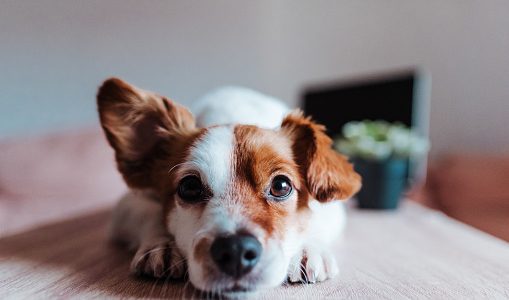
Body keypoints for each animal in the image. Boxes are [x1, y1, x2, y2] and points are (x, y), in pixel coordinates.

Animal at [96, 77, 362, 292]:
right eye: (189, 187)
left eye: (281, 185)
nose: (235, 251)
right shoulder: (128, 204)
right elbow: (150, 213)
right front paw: (163, 244)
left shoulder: (332, 208)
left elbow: (314, 219)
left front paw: (307, 249)